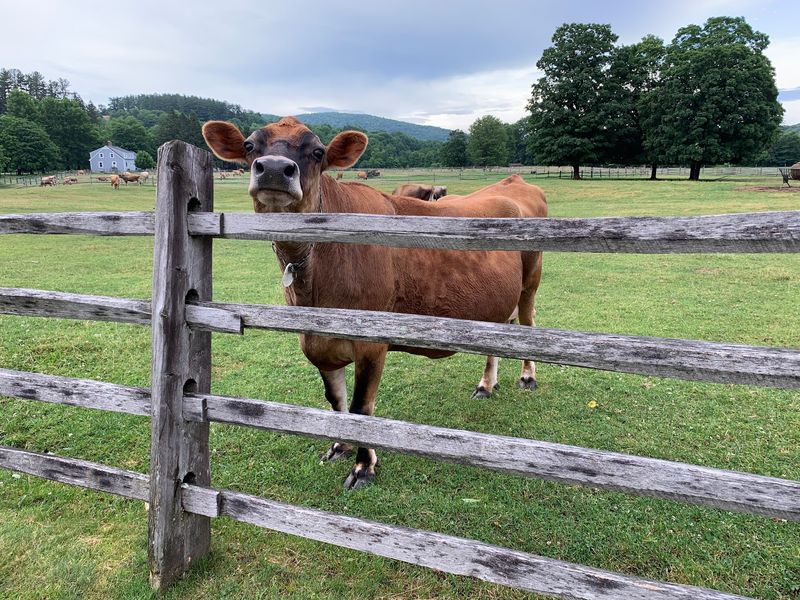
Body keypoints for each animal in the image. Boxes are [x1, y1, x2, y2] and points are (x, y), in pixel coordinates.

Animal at [202, 116, 547, 490]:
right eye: (250, 146)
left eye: (318, 151)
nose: (277, 169)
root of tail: (513, 182)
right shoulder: (316, 341)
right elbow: (336, 399)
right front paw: (339, 446)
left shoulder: (372, 342)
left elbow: (361, 407)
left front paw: (363, 466)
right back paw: (486, 384)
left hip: (531, 279)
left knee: (528, 324)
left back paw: (527, 377)